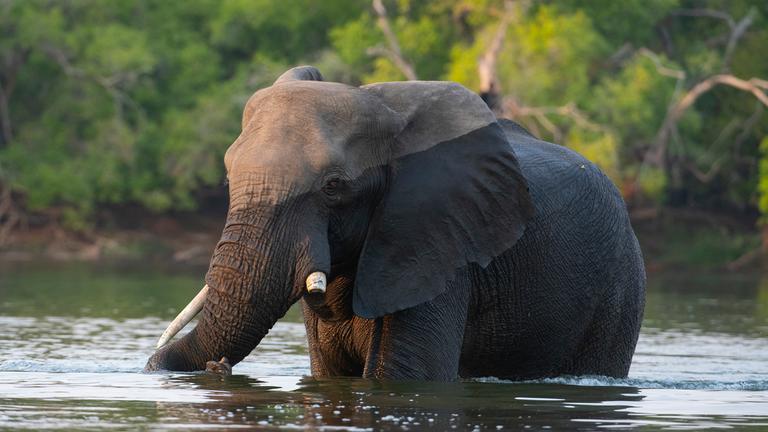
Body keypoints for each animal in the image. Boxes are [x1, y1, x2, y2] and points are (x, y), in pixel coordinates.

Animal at [142, 66, 640, 380]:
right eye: (228, 176)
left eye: (333, 186)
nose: (218, 367)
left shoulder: (437, 246)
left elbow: (402, 375)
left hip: (619, 290)